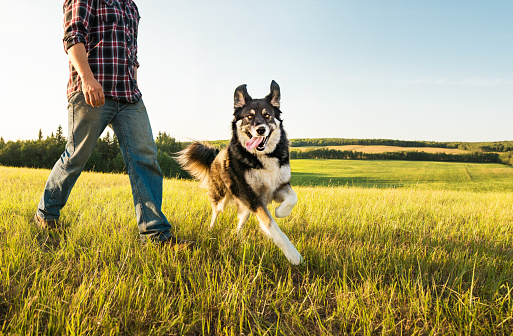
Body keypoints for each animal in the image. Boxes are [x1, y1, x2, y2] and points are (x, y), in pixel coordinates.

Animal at [177, 81, 302, 266]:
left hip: (245, 207)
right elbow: (271, 225)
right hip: (222, 197)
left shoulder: (278, 187)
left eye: (267, 115)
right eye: (249, 117)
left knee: (239, 224)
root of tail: (216, 155)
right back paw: (210, 231)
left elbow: (293, 198)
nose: (260, 130)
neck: (263, 157)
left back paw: (239, 238)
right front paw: (293, 255)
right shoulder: (253, 198)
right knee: (215, 213)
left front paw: (281, 211)